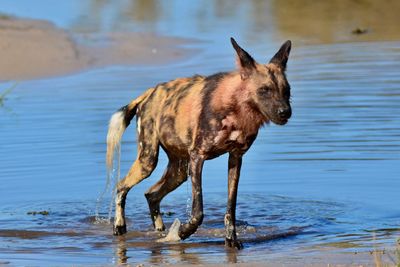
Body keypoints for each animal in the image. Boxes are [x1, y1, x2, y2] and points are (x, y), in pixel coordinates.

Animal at [106, 37, 292, 249]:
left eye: (287, 91)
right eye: (264, 90)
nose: (285, 112)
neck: (235, 110)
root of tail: (150, 92)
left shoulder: (235, 158)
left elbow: (231, 208)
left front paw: (231, 240)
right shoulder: (198, 157)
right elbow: (198, 212)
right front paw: (183, 232)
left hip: (179, 171)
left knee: (151, 195)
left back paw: (161, 232)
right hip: (149, 161)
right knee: (121, 186)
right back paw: (120, 227)